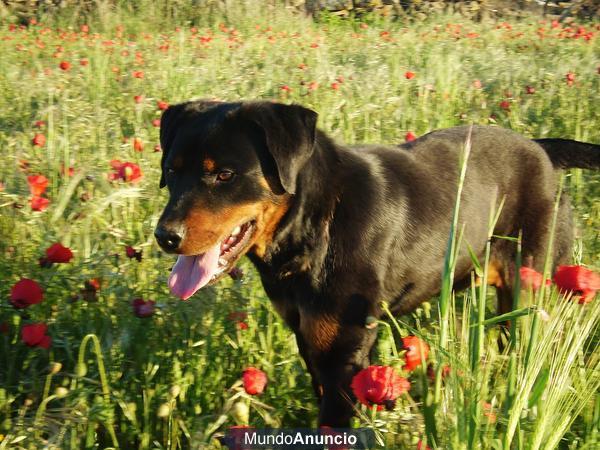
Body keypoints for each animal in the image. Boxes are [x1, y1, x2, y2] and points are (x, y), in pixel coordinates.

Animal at [156, 100, 600, 428]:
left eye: (225, 175)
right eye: (171, 171)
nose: (165, 236)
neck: (318, 222)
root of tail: (541, 150)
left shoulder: (342, 353)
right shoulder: (311, 341)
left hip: (531, 287)